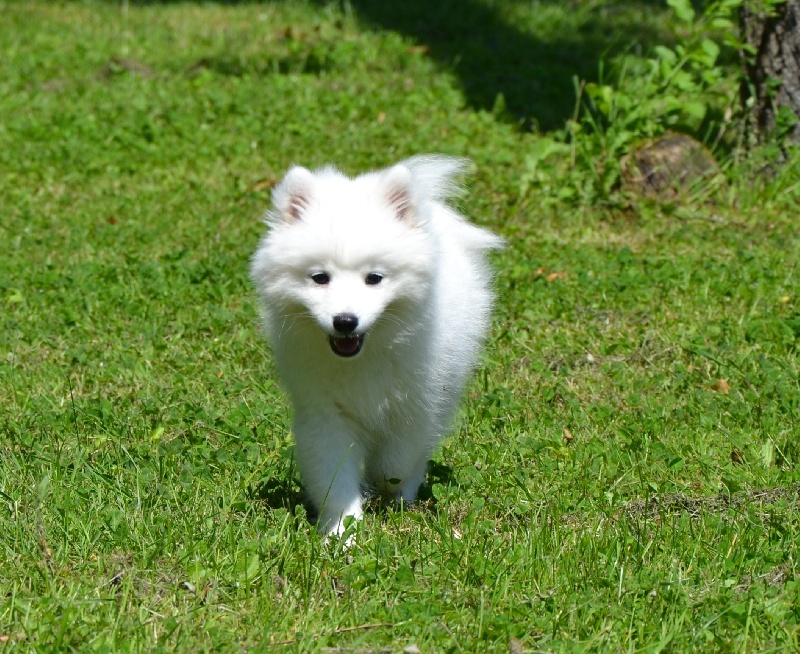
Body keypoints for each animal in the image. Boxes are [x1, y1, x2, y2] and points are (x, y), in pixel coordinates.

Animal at [252, 156, 500, 536]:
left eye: (375, 278)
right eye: (319, 278)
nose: (345, 320)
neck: (363, 357)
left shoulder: (416, 405)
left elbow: (396, 461)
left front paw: (388, 490)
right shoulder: (324, 411)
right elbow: (334, 475)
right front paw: (342, 532)